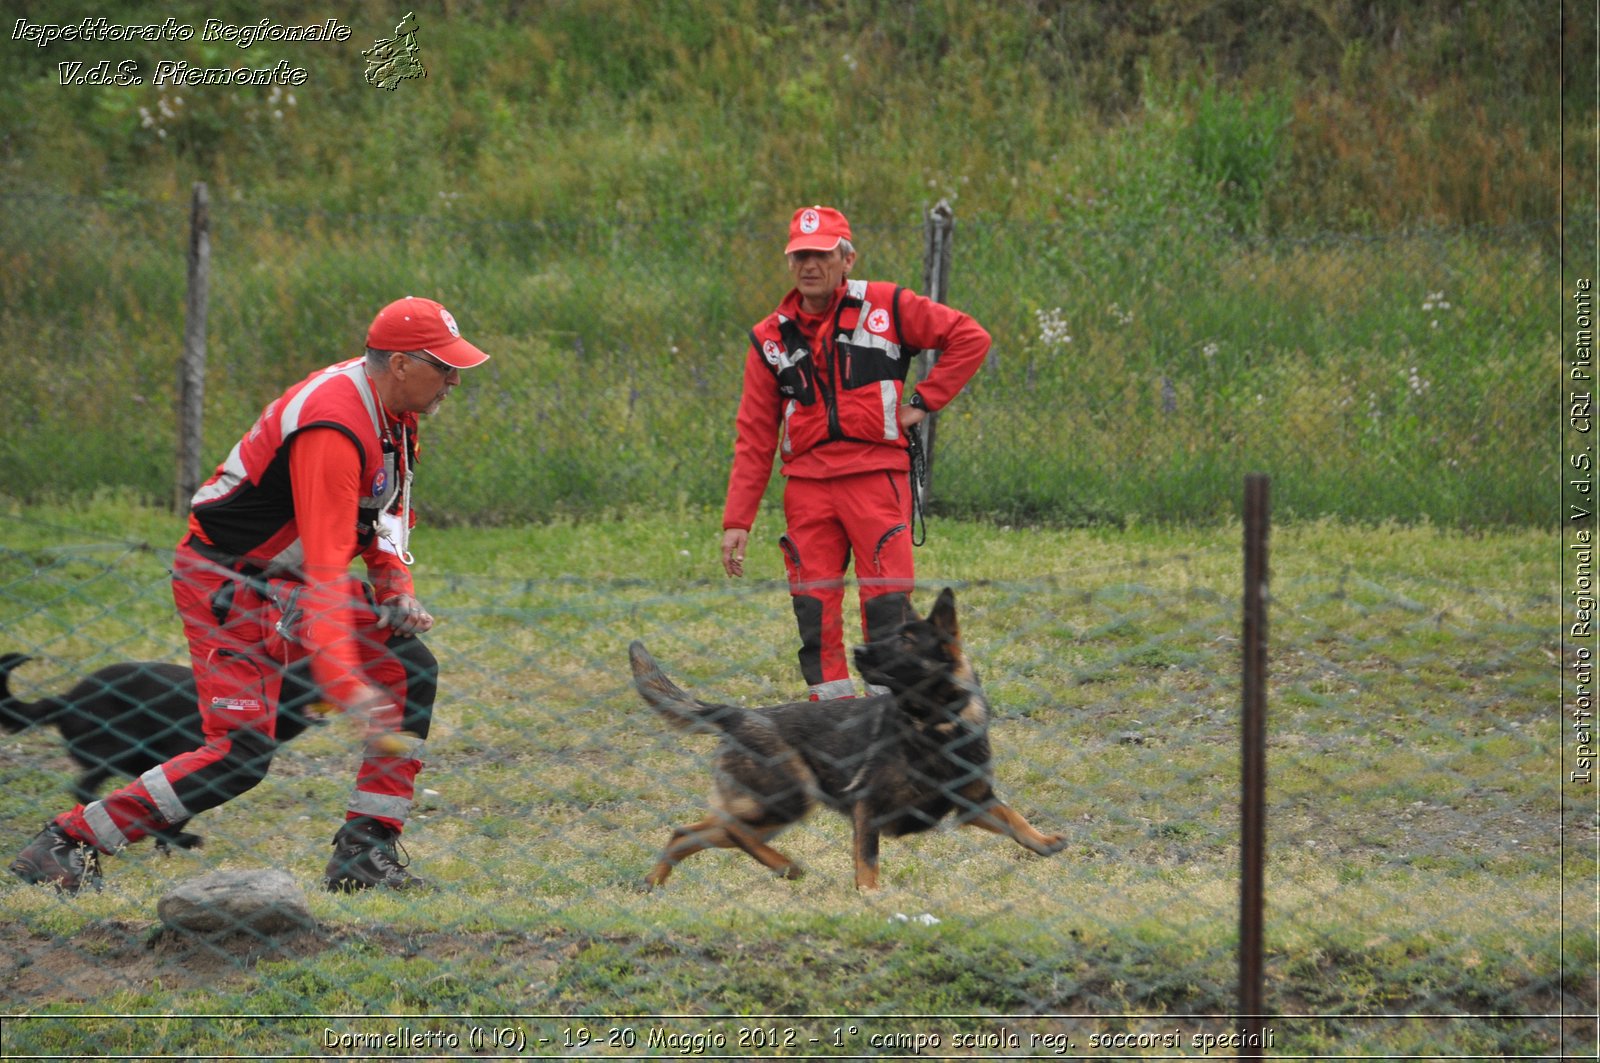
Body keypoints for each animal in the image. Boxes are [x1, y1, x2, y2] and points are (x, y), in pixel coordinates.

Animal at [630, 585, 1068, 890]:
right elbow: (868, 862)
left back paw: (653, 883)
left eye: (906, 641)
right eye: (891, 635)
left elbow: (1013, 817)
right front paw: (871, 899)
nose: (858, 650)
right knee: (732, 832)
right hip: (788, 799)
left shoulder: (975, 803)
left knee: (688, 833)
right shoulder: (868, 809)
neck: (934, 726)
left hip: (765, 811)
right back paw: (785, 865)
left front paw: (1044, 840)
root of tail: (739, 715)